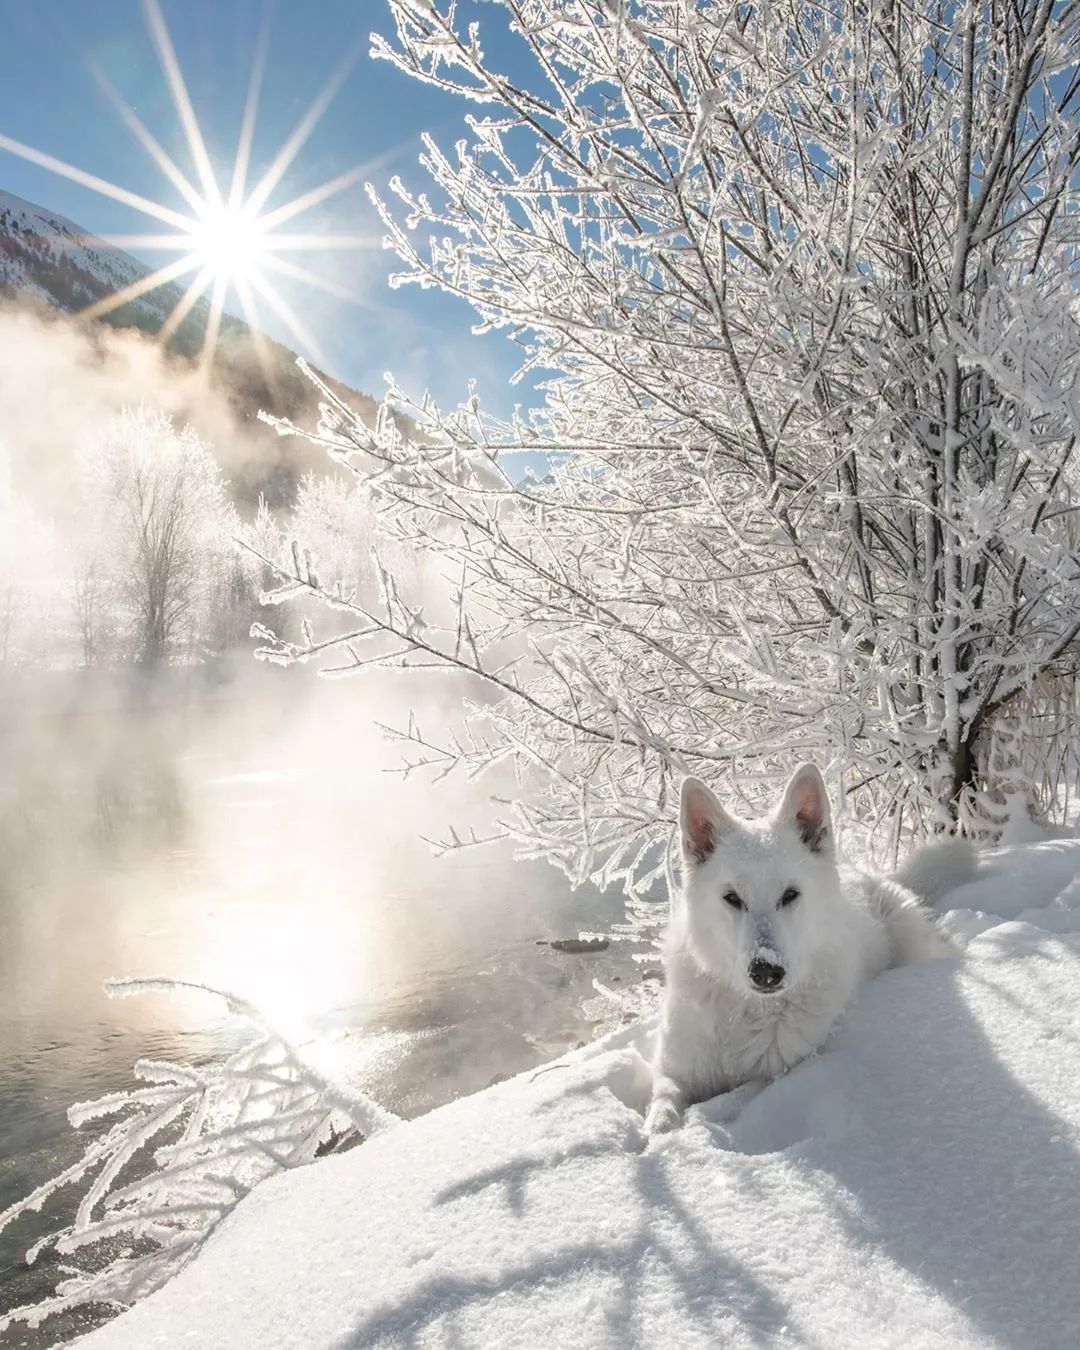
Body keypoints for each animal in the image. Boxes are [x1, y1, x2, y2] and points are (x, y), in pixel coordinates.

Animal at [645, 766, 955, 1134]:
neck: (744, 1010)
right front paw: (661, 1131)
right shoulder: (673, 1069)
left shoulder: (771, 1076)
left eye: (790, 895)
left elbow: (738, 1094)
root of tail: (864, 873)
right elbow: (663, 1104)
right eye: (732, 898)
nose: (766, 971)